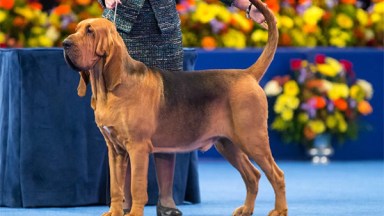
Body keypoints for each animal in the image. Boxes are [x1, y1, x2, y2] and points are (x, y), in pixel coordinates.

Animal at [63, 0, 286, 215]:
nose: (65, 43)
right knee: (253, 176)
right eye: (78, 29)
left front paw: (134, 213)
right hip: (228, 144)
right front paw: (116, 212)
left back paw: (279, 210)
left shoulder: (138, 147)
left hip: (253, 139)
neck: (108, 88)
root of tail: (247, 74)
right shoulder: (115, 150)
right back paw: (246, 209)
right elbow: (117, 189)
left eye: (90, 31)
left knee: (277, 175)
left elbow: (136, 186)